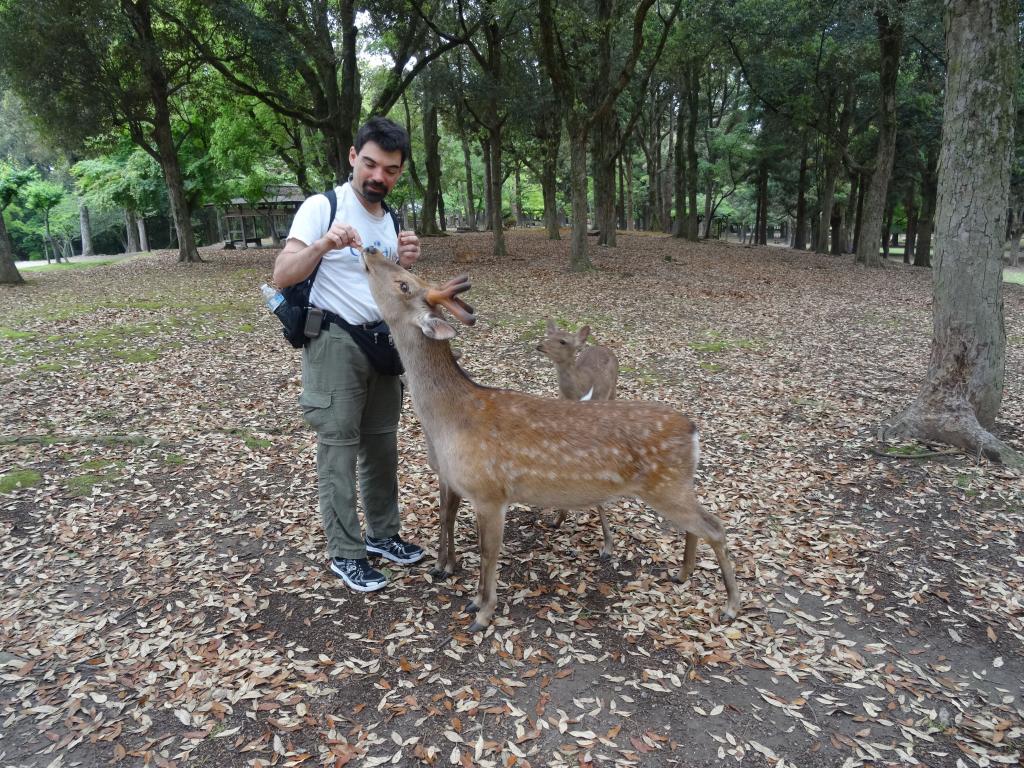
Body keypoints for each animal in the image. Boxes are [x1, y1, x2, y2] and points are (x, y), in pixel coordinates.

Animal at [540, 319, 618, 561]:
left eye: (563, 341)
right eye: (548, 335)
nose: (540, 345)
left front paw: (608, 547)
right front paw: (557, 520)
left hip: (613, 391)